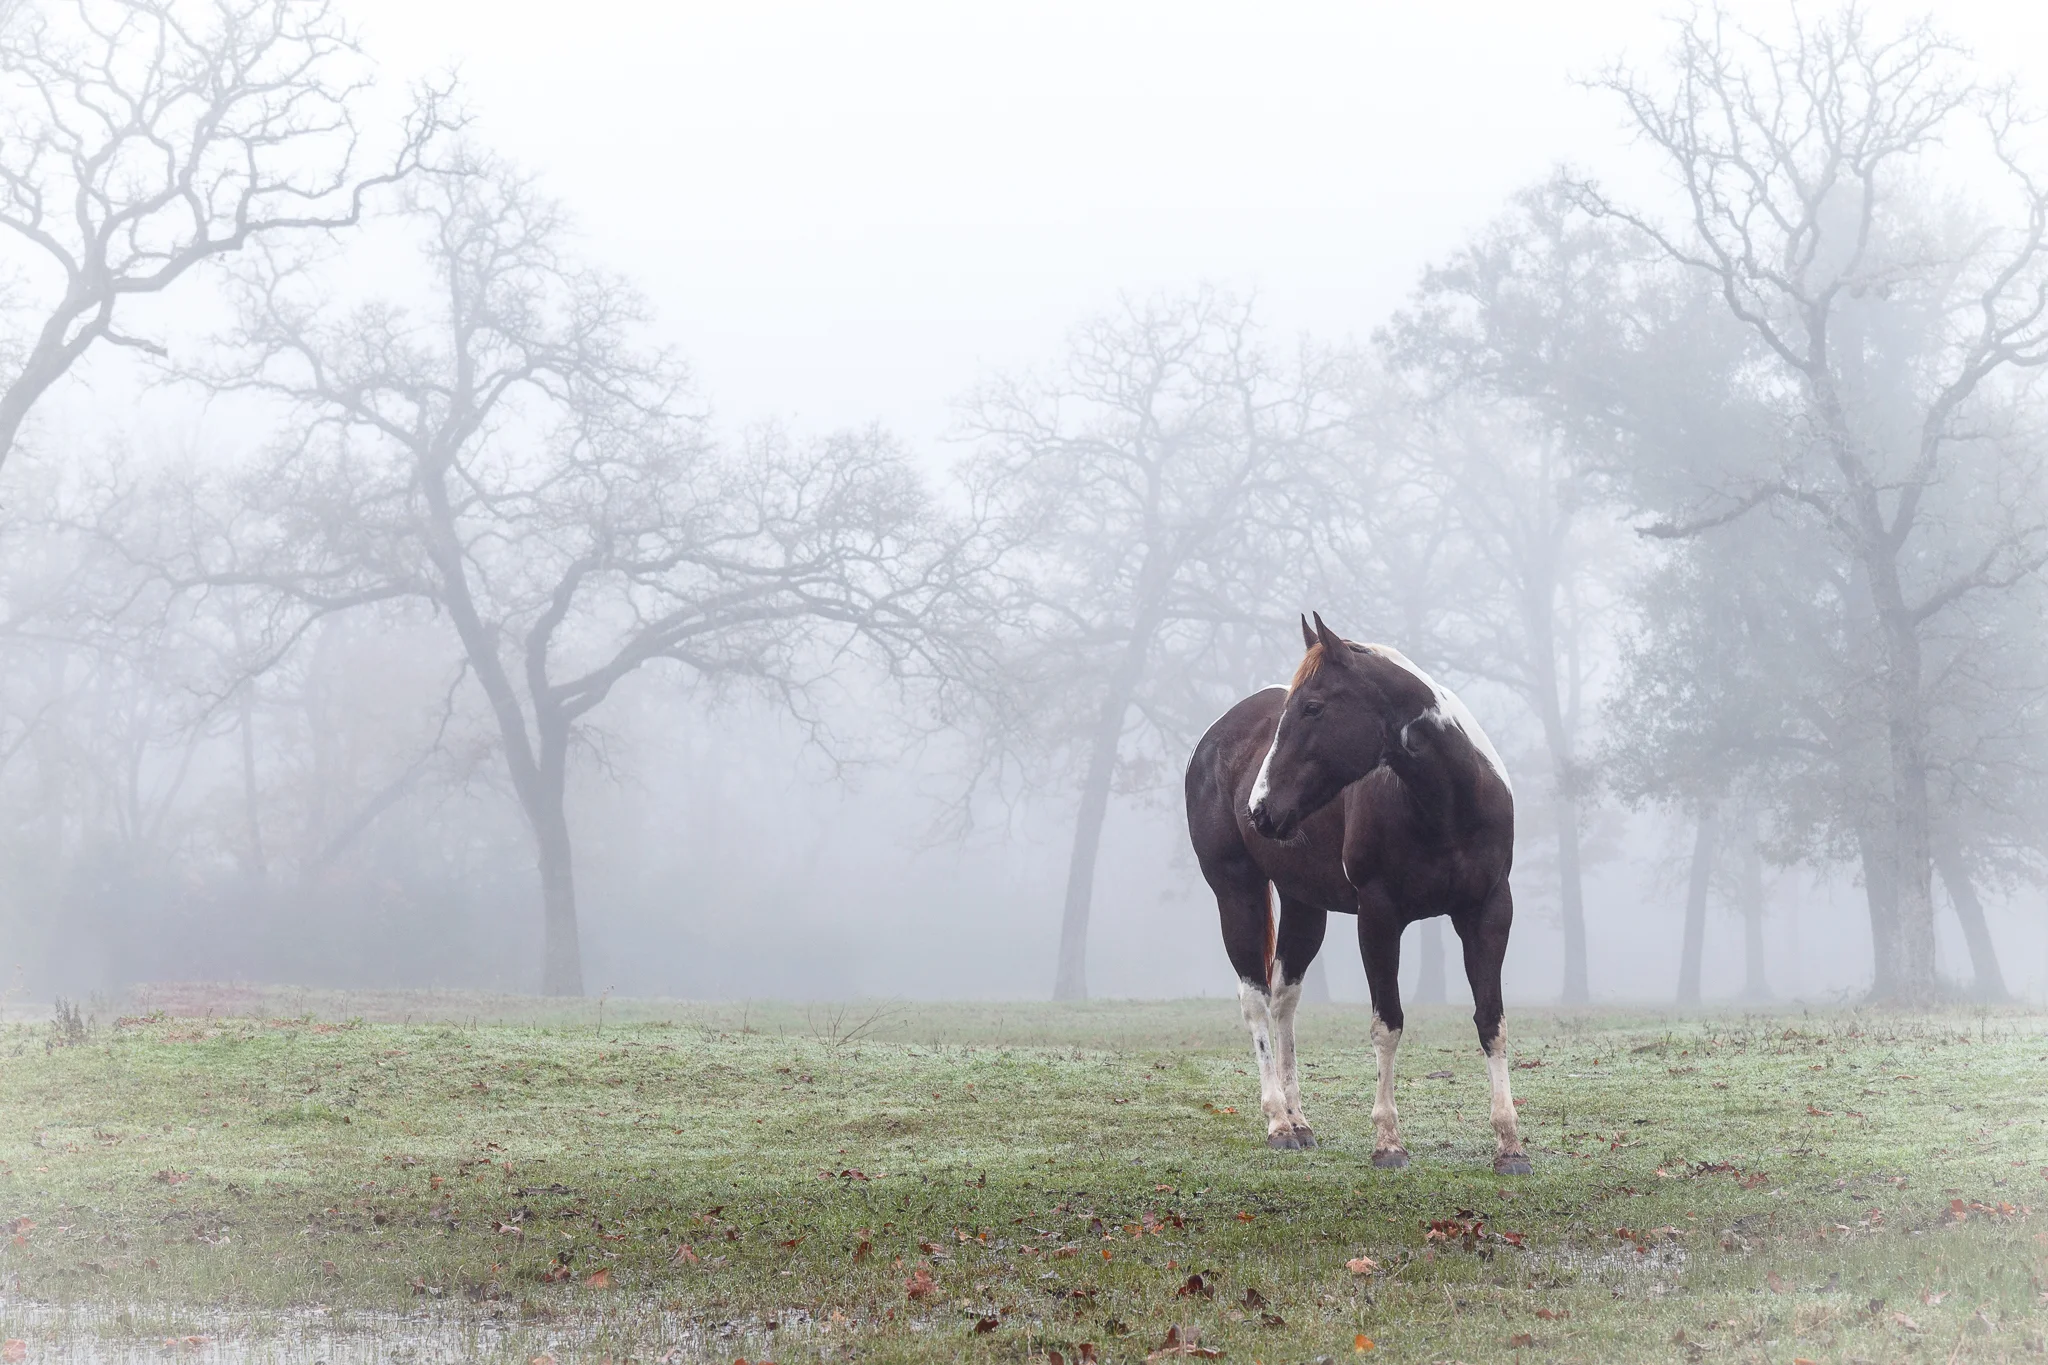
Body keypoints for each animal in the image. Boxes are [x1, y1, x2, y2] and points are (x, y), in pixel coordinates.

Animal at [1182, 612, 1529, 1174]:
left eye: (1313, 707)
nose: (1260, 810)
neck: (1448, 803)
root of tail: (1215, 738)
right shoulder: (1379, 917)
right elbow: (1387, 1023)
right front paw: (1388, 1142)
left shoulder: (1489, 913)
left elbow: (1490, 1021)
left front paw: (1510, 1145)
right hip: (1237, 892)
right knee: (1255, 999)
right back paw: (1278, 1123)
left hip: (1305, 905)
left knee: (1284, 998)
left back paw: (1299, 1121)